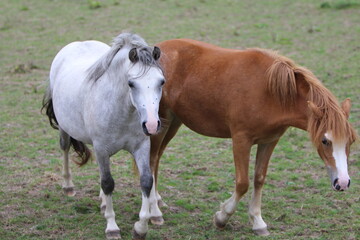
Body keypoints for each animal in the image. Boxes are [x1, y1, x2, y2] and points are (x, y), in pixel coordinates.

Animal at [150, 39, 358, 236]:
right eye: (325, 140)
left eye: (351, 141)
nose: (342, 182)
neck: (271, 93)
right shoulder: (241, 140)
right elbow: (243, 183)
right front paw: (222, 217)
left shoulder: (269, 141)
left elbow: (259, 178)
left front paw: (258, 222)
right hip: (160, 123)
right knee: (151, 160)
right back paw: (154, 213)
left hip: (174, 122)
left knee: (157, 158)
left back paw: (158, 201)